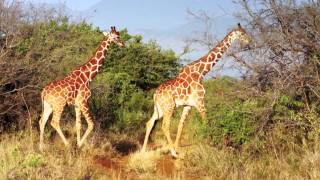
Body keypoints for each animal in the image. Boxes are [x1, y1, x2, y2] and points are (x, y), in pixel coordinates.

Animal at [141, 23, 251, 157]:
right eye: (242, 33)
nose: (249, 41)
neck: (201, 72)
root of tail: (155, 94)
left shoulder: (188, 105)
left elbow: (180, 125)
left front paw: (177, 148)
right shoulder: (200, 101)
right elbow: (206, 122)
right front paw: (211, 145)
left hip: (159, 108)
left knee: (149, 123)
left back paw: (143, 151)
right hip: (169, 107)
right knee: (165, 126)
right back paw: (172, 153)